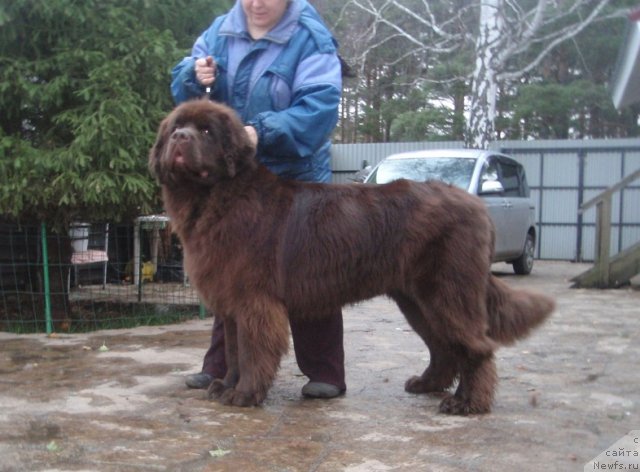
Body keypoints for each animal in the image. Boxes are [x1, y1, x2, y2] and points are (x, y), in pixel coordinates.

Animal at [150, 99, 556, 412]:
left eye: (206, 132)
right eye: (176, 128)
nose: (180, 138)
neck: (218, 198)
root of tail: (477, 205)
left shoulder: (254, 301)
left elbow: (252, 350)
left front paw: (244, 394)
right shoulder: (231, 302)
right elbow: (234, 350)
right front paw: (225, 385)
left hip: (448, 291)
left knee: (476, 346)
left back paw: (468, 403)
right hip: (416, 298)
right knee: (442, 345)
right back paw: (427, 384)